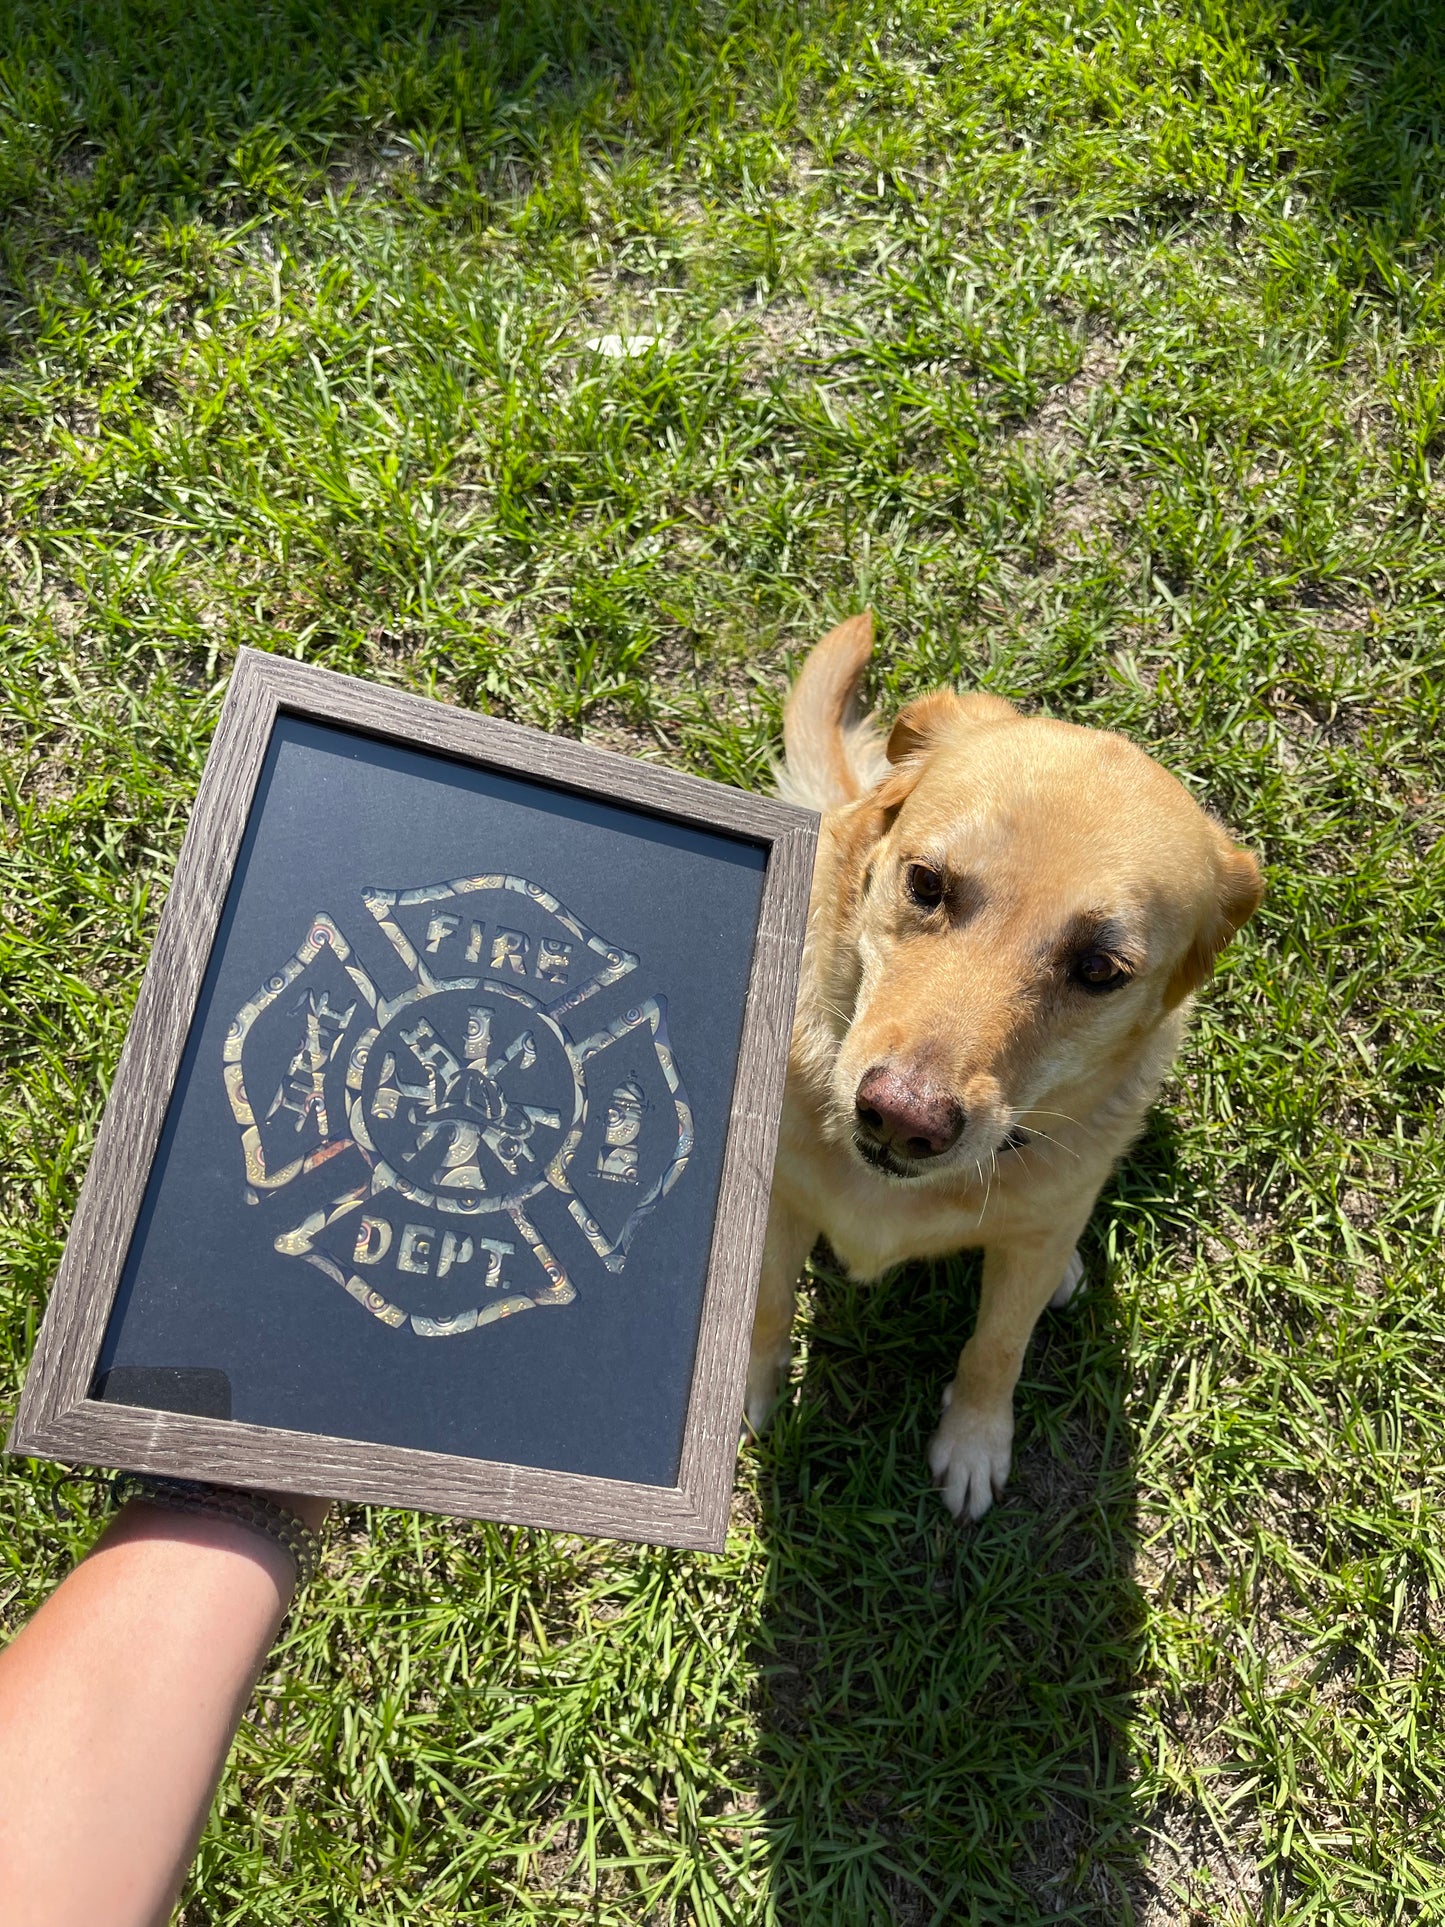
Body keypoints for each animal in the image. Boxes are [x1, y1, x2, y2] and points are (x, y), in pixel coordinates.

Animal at [751, 616, 1263, 1518]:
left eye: (1098, 969)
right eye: (925, 882)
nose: (901, 1119)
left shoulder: (1023, 1255)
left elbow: (997, 1347)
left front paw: (973, 1441)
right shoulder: (780, 1198)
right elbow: (769, 1305)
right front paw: (746, 1393)